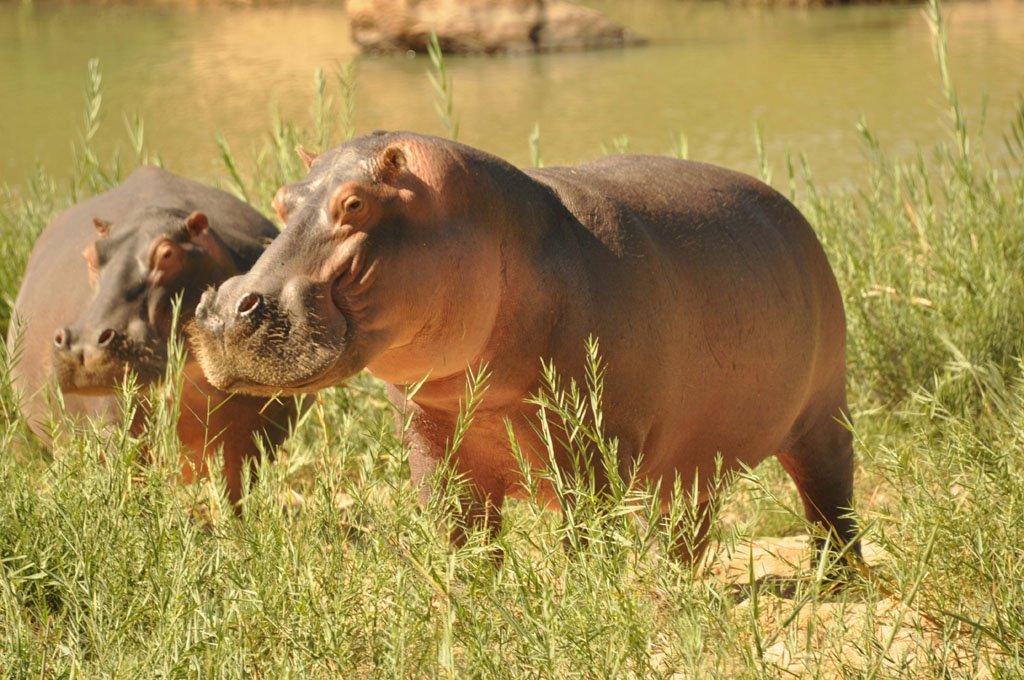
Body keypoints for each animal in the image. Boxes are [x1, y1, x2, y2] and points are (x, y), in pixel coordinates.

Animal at [8, 166, 297, 504]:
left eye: (167, 254)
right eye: (90, 254)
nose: (83, 345)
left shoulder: (254, 432)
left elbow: (235, 491)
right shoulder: (113, 426)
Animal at [190, 131, 858, 558]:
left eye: (354, 203)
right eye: (281, 200)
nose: (225, 313)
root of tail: (794, 214)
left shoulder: (592, 446)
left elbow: (585, 536)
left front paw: (586, 598)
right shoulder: (432, 439)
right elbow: (459, 533)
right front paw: (464, 603)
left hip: (822, 414)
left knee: (830, 502)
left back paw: (837, 581)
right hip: (698, 453)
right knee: (689, 522)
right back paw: (673, 580)